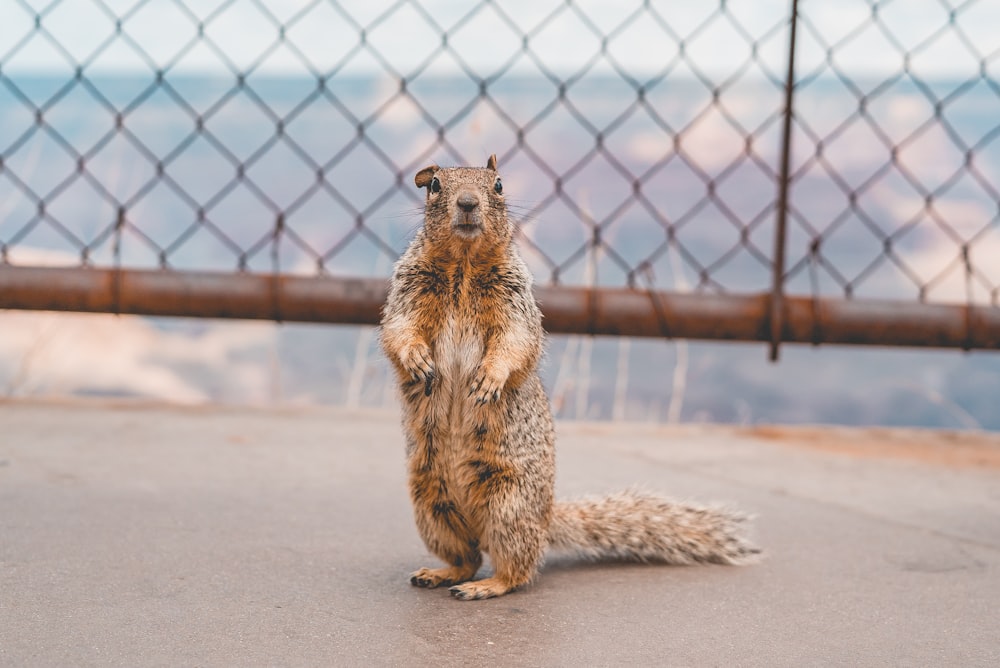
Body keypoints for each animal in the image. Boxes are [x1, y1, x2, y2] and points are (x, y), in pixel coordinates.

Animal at [380, 155, 756, 600]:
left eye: (499, 184)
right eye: (435, 185)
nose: (468, 202)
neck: (463, 264)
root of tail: (546, 519)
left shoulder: (515, 303)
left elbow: (515, 342)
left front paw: (490, 378)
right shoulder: (408, 290)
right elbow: (399, 329)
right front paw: (417, 359)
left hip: (509, 507)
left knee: (515, 567)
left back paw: (486, 585)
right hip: (432, 506)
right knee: (466, 556)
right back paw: (441, 574)